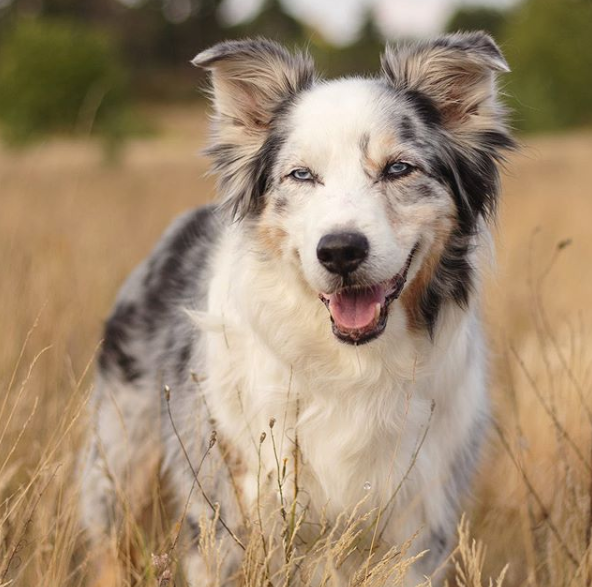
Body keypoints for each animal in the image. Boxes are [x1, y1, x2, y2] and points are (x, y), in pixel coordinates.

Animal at [81, 34, 516, 584]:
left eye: (399, 168)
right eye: (302, 175)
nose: (340, 250)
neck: (352, 365)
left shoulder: (416, 529)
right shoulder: (227, 518)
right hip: (121, 461)